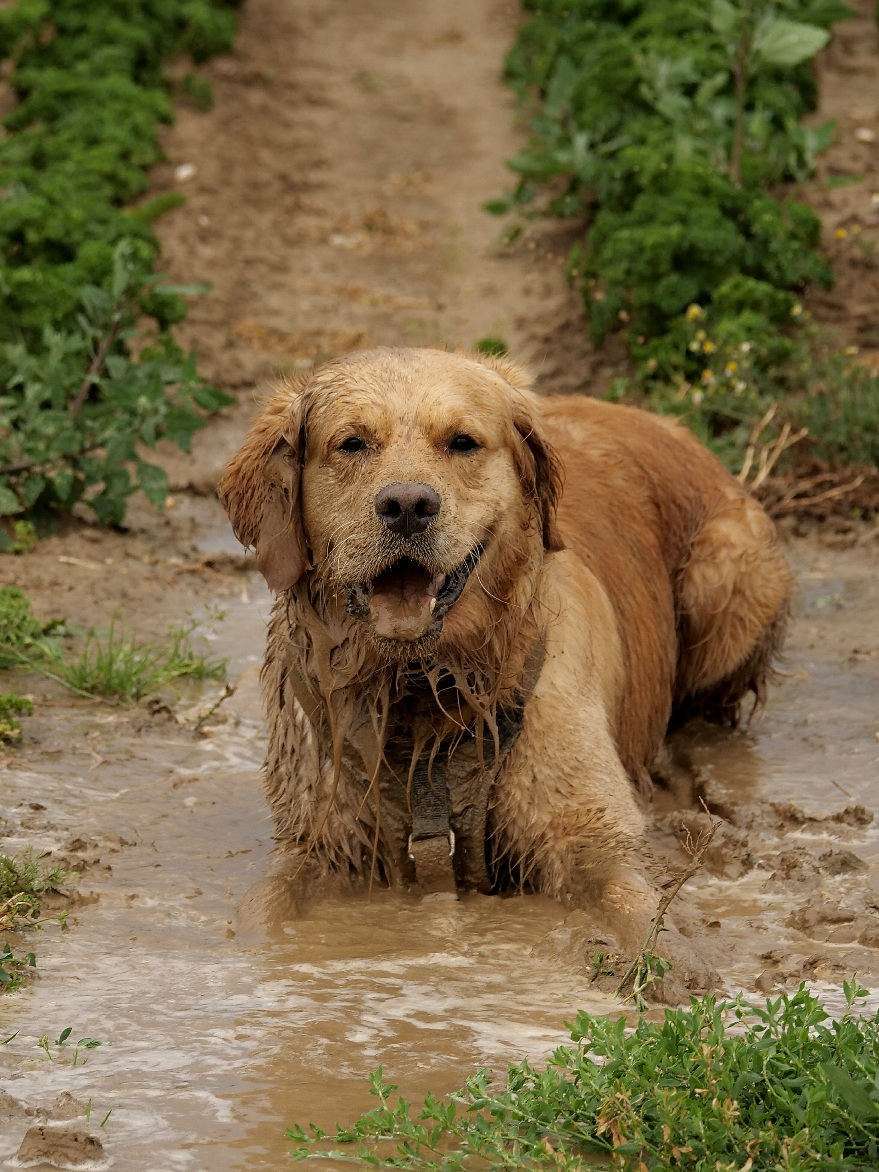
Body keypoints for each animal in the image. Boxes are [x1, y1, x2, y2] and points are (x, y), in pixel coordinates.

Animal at [219, 346, 792, 989]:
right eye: (352, 443)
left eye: (463, 442)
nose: (408, 505)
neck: (421, 687)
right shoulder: (321, 840)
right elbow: (262, 906)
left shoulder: (584, 828)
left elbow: (635, 900)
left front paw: (677, 970)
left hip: (731, 577)